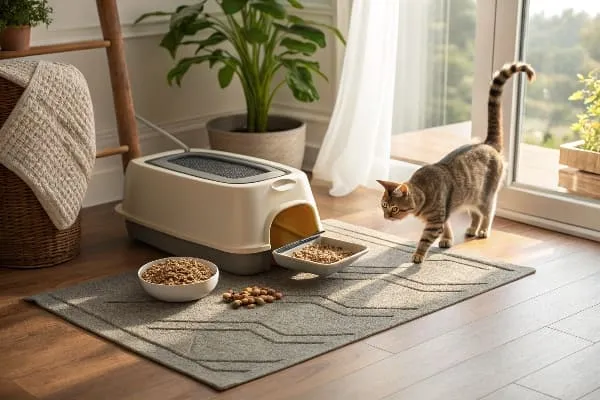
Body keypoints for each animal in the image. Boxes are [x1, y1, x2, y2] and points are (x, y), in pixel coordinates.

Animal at [378, 61, 536, 264]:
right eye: (384, 206)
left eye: (395, 208)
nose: (386, 216)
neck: (423, 193)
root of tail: (487, 143)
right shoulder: (444, 214)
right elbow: (447, 227)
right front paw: (447, 239)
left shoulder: (435, 220)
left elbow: (425, 239)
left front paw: (418, 255)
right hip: (470, 196)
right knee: (475, 214)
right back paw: (472, 229)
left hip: (485, 196)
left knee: (488, 212)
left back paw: (483, 230)